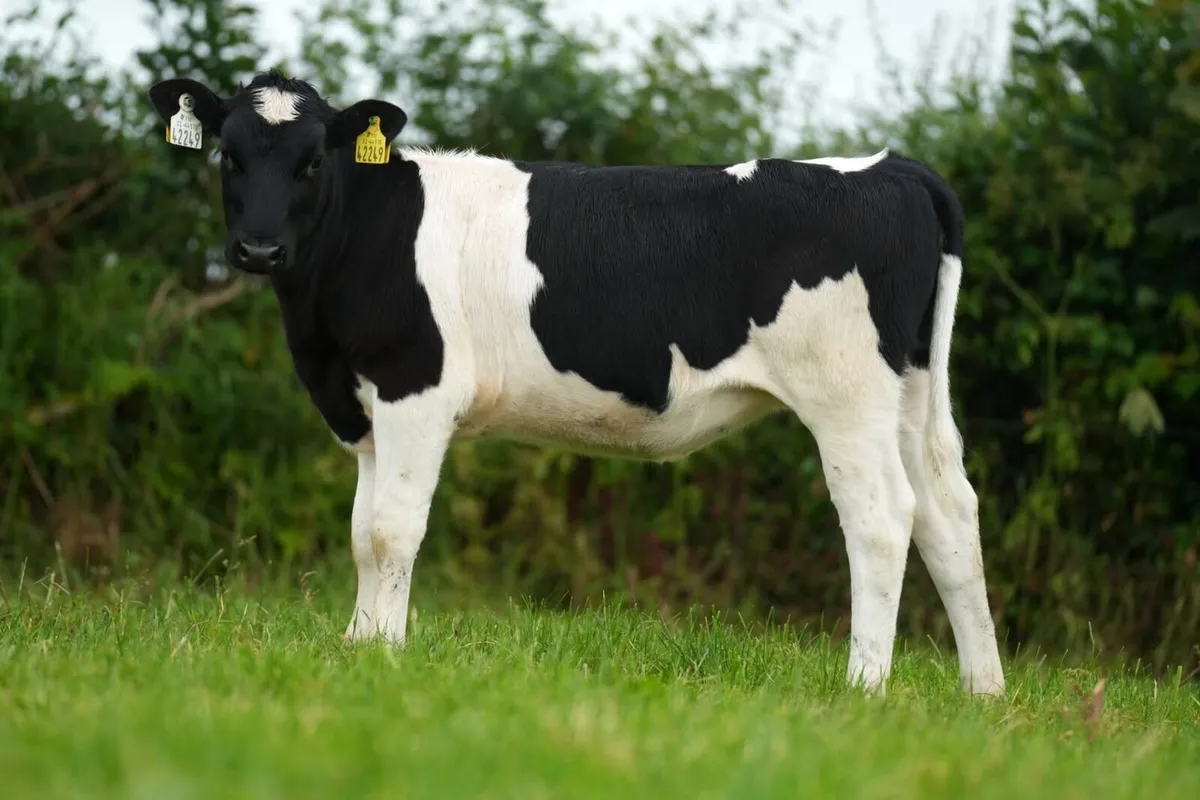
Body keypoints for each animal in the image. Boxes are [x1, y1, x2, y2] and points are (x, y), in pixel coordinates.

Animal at [148, 69, 1005, 697]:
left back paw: (864, 686)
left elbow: (390, 530)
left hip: (846, 395)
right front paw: (358, 644)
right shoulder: (361, 404)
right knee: (950, 515)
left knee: (883, 518)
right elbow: (362, 532)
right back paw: (983, 692)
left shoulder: (413, 387)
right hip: (911, 390)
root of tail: (891, 166)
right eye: (229, 154)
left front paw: (385, 652)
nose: (258, 248)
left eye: (313, 160)